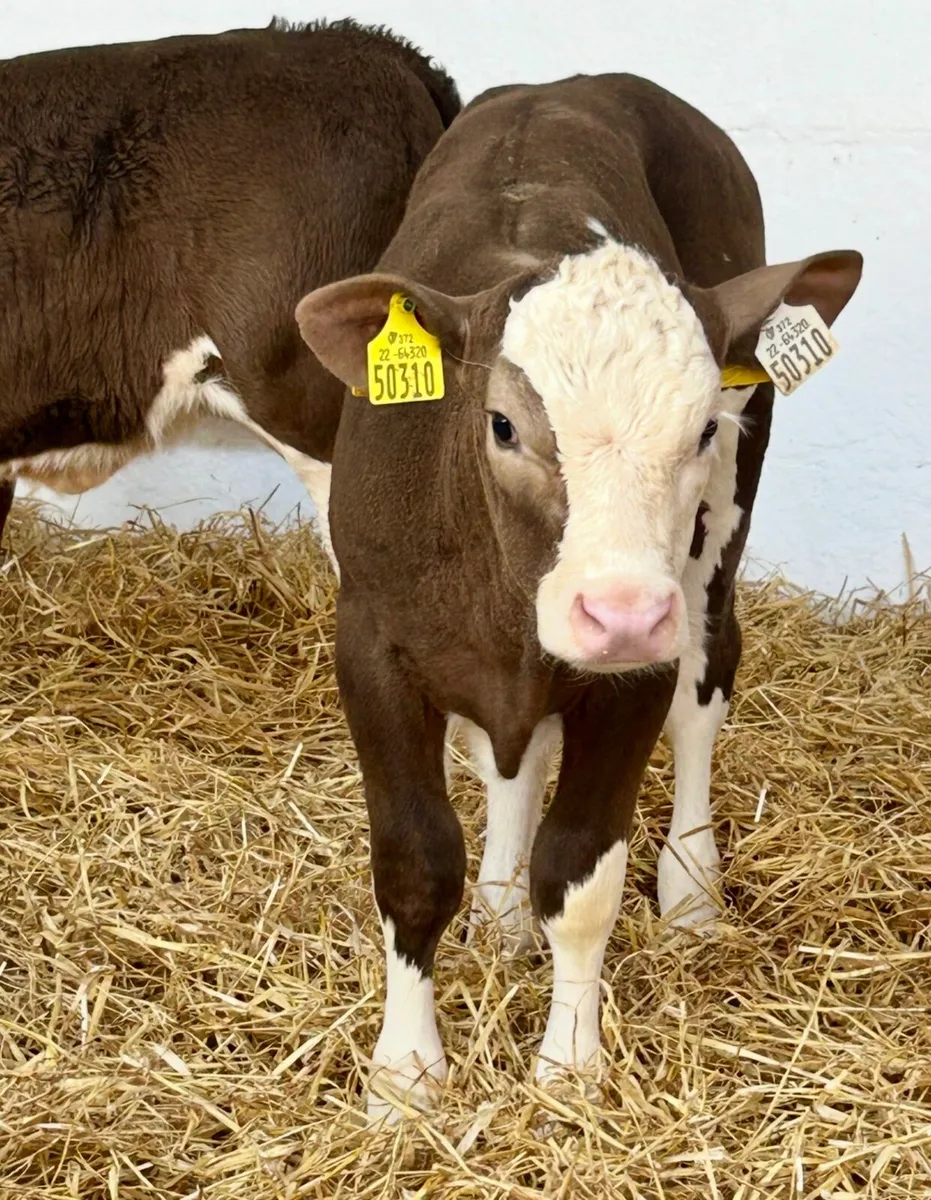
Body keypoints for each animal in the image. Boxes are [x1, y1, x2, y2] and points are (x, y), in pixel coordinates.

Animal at [295, 73, 863, 1121]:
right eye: (501, 424)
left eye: (702, 427)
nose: (621, 611)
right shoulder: (373, 648)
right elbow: (414, 864)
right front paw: (406, 1071)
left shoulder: (629, 677)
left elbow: (583, 873)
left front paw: (568, 1064)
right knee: (510, 763)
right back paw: (500, 905)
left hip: (711, 560)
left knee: (703, 690)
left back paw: (690, 886)